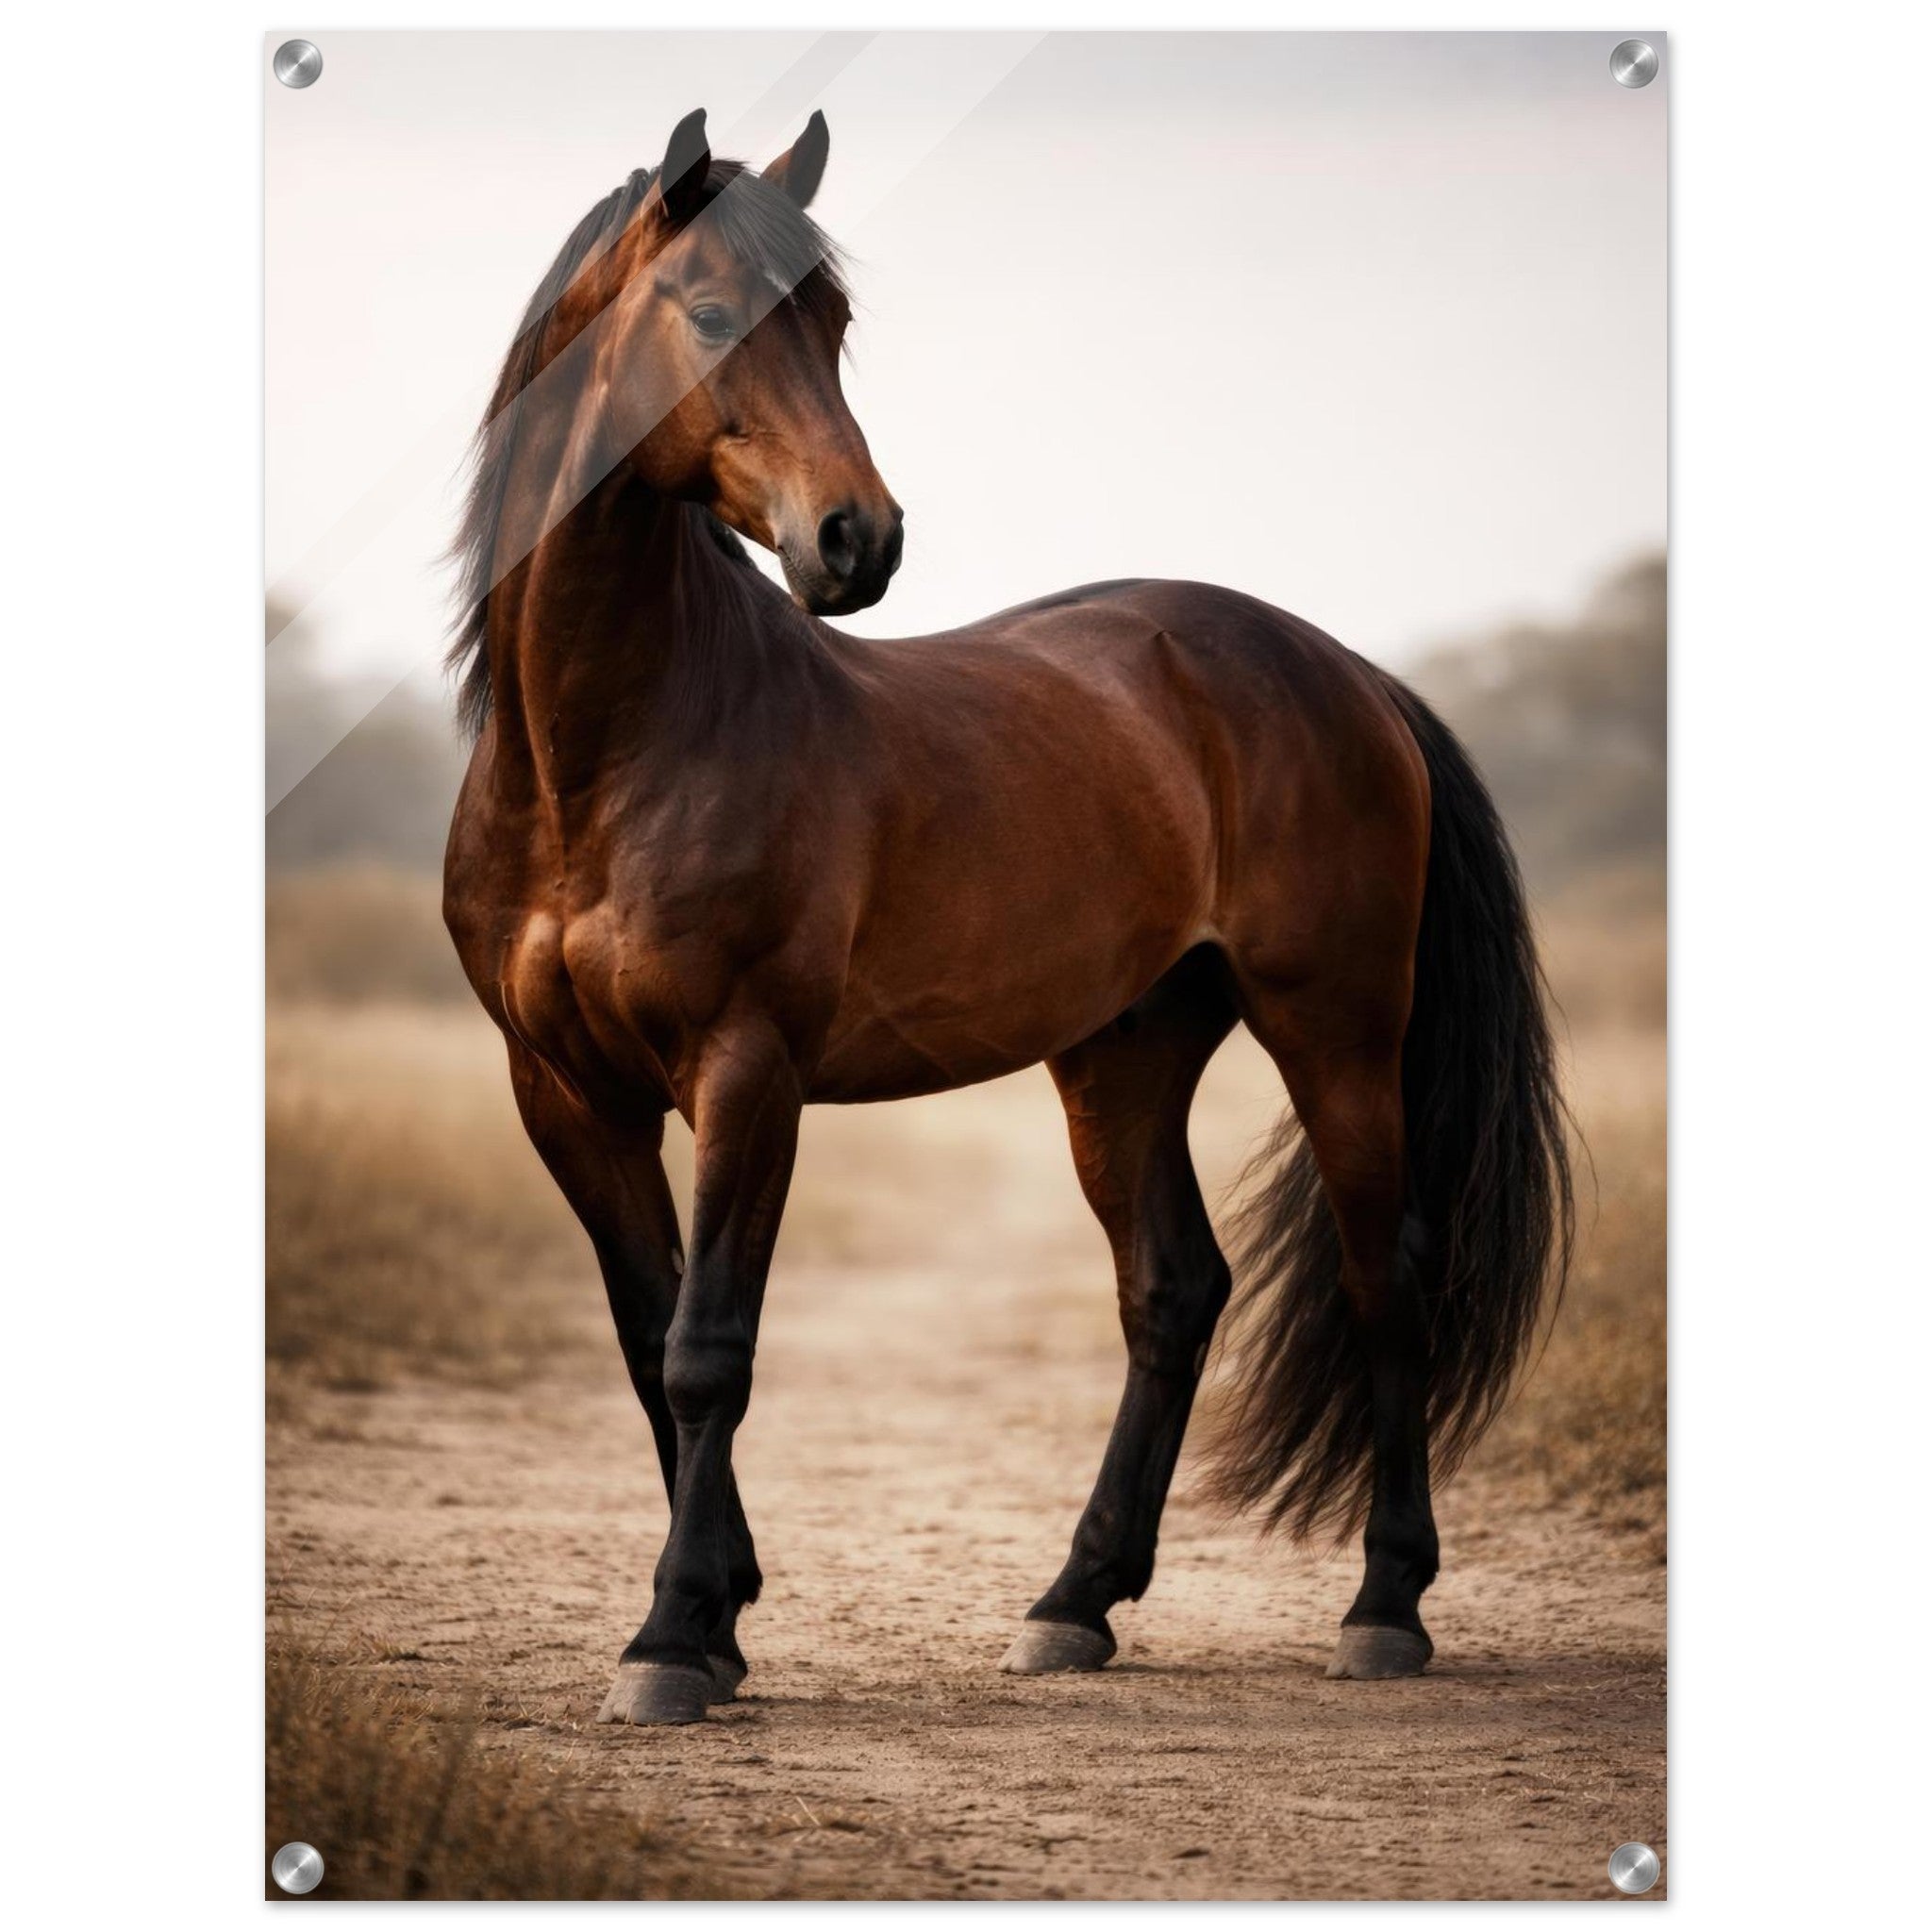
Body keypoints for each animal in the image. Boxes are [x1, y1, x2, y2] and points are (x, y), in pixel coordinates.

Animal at [443, 107, 1572, 1727]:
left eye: (837, 323)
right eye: (712, 315)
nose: (859, 541)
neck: (605, 754)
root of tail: (1345, 669)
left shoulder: (746, 1073)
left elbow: (711, 1348)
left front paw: (668, 1641)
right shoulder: (566, 1097)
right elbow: (648, 1344)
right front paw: (715, 1621)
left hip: (1337, 1035)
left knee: (1386, 1279)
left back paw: (1384, 1608)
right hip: (1125, 1054)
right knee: (1174, 1292)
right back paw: (1073, 1603)